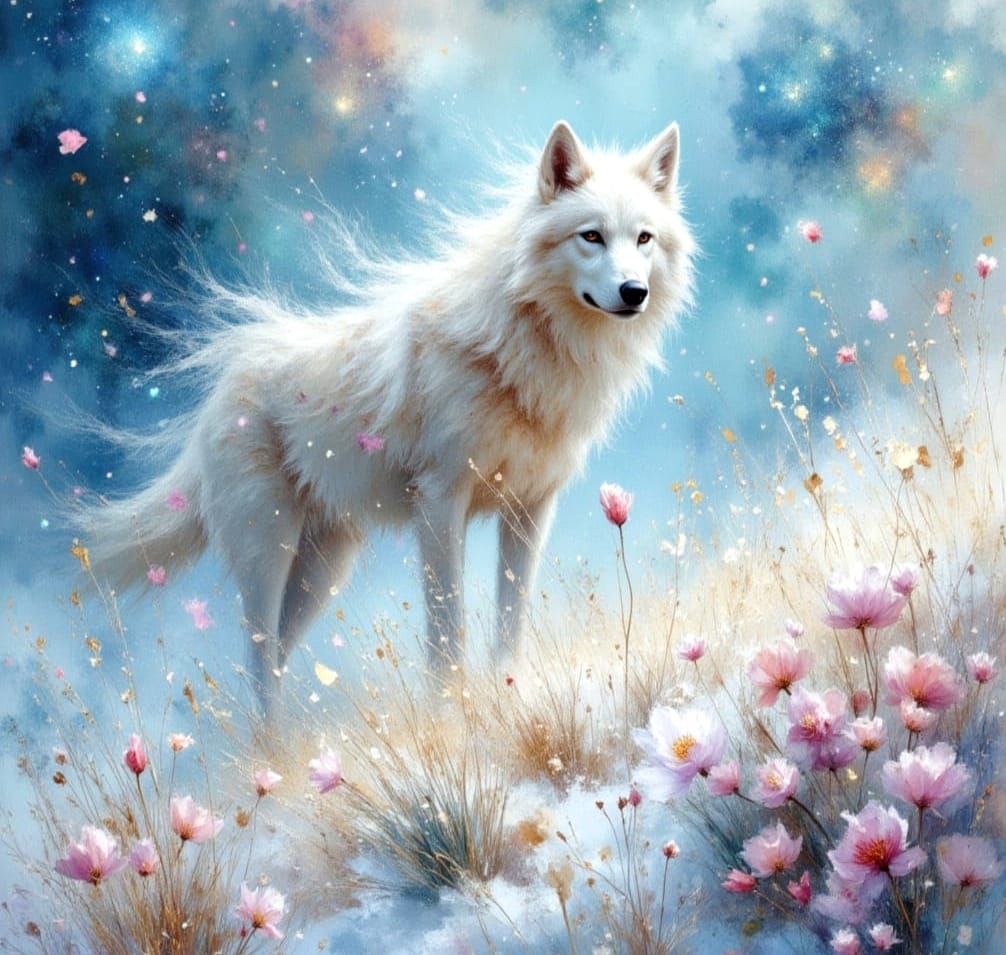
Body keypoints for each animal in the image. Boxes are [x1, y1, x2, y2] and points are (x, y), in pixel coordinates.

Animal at [81, 120, 695, 706]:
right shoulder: (441, 502)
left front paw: (508, 696)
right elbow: (448, 628)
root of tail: (215, 397)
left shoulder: (531, 508)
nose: (633, 292)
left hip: (324, 568)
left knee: (275, 656)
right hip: (269, 552)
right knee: (257, 663)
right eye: (591, 236)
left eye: (643, 238)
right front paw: (451, 714)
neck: (526, 347)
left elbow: (510, 625)